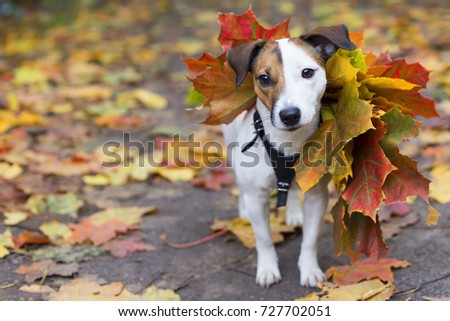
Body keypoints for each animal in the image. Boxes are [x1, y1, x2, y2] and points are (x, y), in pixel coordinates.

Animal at [221, 23, 356, 286]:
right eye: (264, 78)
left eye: (307, 72)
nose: (290, 114)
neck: (289, 143)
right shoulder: (257, 198)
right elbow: (264, 239)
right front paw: (267, 269)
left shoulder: (316, 196)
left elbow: (310, 239)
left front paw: (309, 269)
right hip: (232, 148)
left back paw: (293, 212)